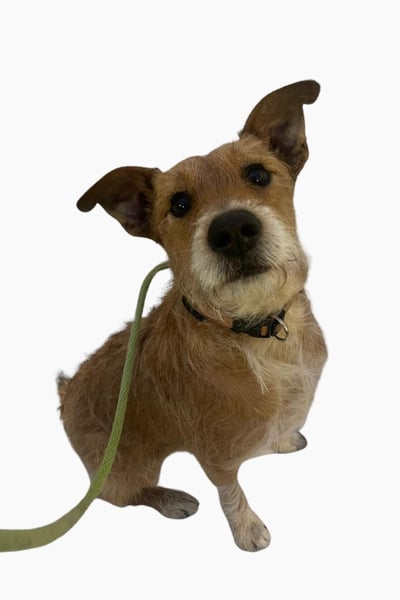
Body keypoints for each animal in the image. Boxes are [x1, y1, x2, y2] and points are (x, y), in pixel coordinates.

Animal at [59, 80, 327, 551]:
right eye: (180, 203)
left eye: (258, 175)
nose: (233, 229)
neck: (255, 331)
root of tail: (66, 390)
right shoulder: (213, 454)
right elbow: (230, 491)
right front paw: (247, 528)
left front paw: (280, 439)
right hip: (128, 466)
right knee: (120, 495)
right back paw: (170, 499)